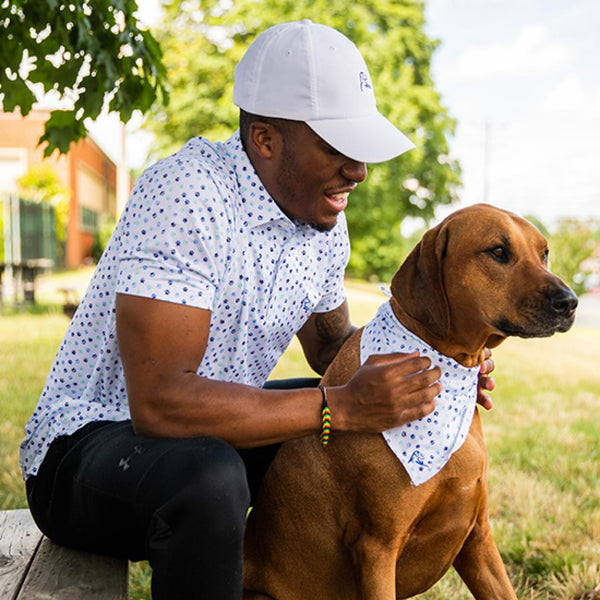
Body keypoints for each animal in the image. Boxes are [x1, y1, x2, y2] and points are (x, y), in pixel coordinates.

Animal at [243, 204, 576, 596]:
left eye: (544, 253)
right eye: (497, 251)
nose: (570, 301)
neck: (446, 361)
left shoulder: (478, 537)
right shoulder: (377, 548)